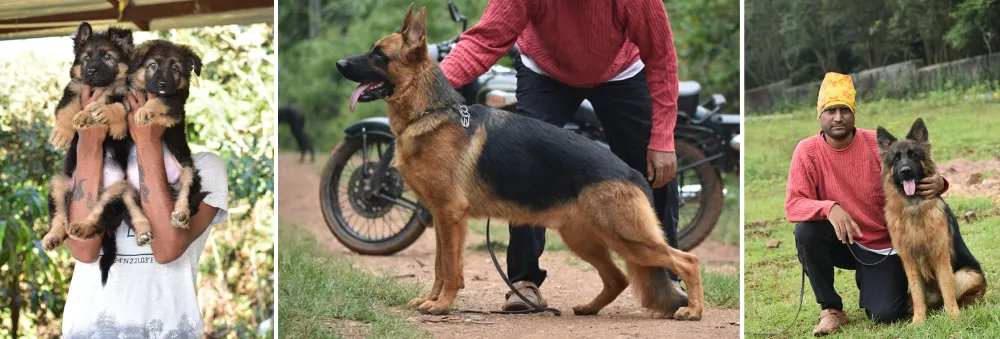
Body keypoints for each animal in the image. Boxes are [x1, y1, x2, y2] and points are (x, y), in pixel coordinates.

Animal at [41, 23, 151, 268]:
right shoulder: (73, 91)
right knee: (60, 218)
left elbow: (113, 106)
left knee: (101, 218)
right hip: (58, 184)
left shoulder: (125, 98)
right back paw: (53, 237)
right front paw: (62, 133)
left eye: (107, 57)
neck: (103, 86)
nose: (91, 71)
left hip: (121, 191)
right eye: (87, 58)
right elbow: (67, 110)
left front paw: (99, 116)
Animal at [128, 40, 208, 231]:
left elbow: (159, 101)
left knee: (185, 193)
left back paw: (181, 215)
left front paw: (145, 111)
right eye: (153, 65)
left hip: (189, 170)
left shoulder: (175, 103)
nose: (163, 84)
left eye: (175, 68)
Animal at [336, 4, 704, 322]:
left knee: (687, 260)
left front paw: (442, 305)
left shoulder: (451, 216)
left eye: (378, 54)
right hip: (585, 238)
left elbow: (451, 268)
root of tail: (631, 171)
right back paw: (589, 308)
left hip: (626, 236)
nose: (339, 64)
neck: (430, 112)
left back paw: (693, 310)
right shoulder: (441, 217)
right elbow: (440, 266)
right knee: (618, 278)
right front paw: (432, 300)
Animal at [876, 118, 984, 326]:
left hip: (966, 275)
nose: (905, 171)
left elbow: (948, 290)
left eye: (914, 155)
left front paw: (954, 317)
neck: (914, 206)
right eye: (896, 158)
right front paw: (918, 321)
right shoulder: (909, 262)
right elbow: (918, 295)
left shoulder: (940, 256)